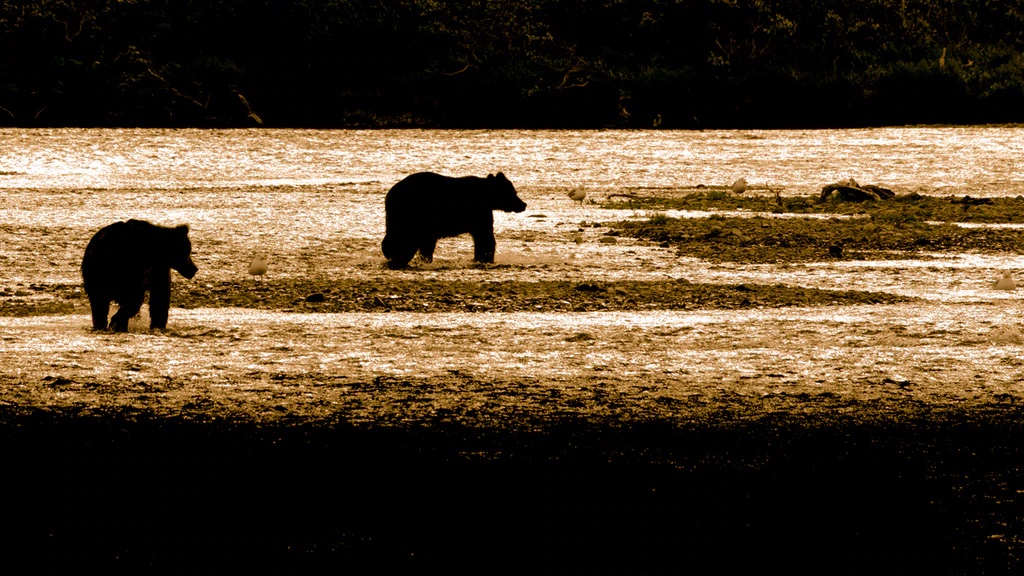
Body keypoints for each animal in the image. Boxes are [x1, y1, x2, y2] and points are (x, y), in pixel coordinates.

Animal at [381, 171, 527, 269]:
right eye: (513, 192)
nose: (523, 204)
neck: (487, 197)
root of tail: (390, 192)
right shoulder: (478, 211)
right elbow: (485, 236)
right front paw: (485, 258)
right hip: (409, 211)